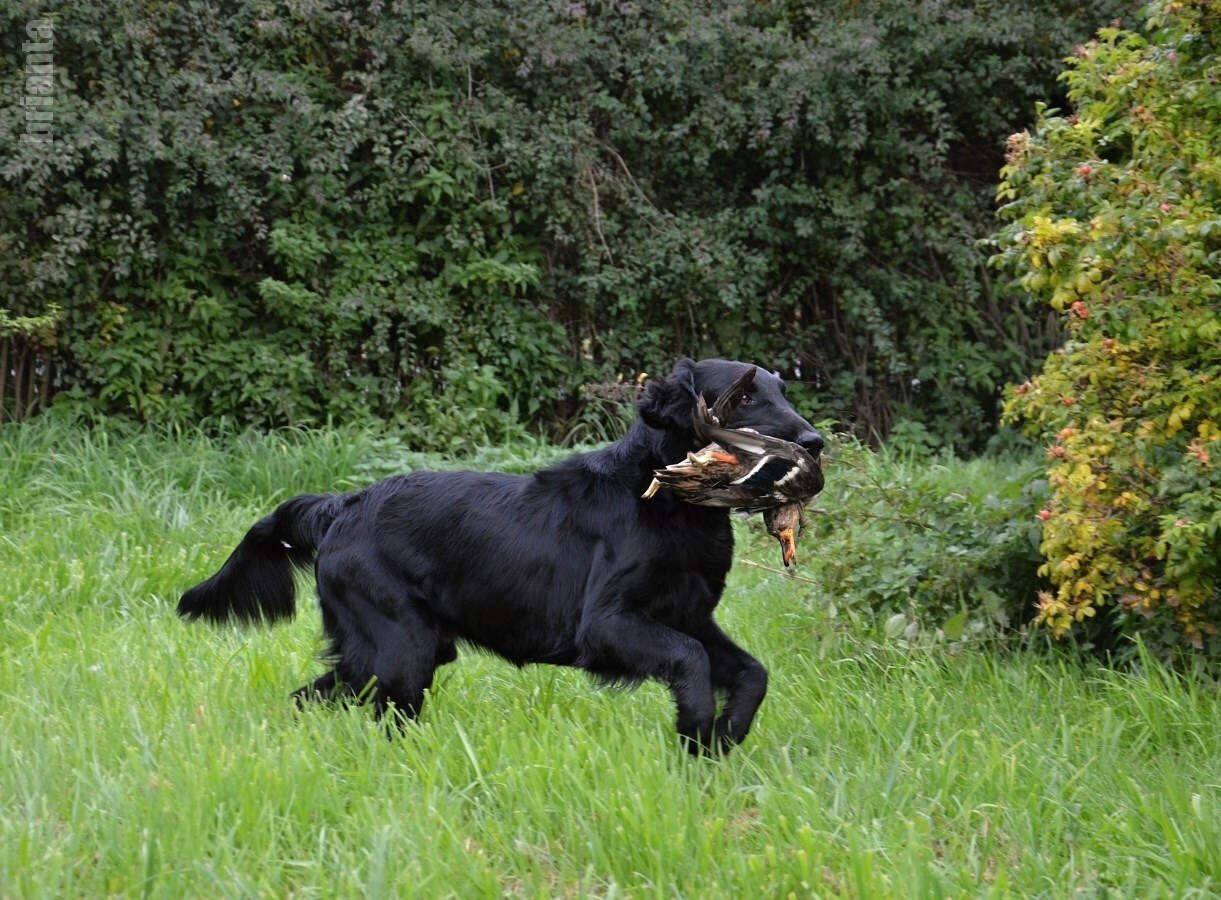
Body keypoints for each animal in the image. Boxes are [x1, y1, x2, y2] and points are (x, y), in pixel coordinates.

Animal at [178, 357, 823, 754]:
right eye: (743, 396)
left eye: (783, 391)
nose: (814, 443)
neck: (673, 503)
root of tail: (342, 504)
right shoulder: (607, 625)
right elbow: (690, 662)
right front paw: (694, 733)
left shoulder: (689, 615)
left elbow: (752, 672)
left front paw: (724, 738)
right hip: (401, 650)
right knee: (377, 712)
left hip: (389, 652)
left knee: (310, 696)